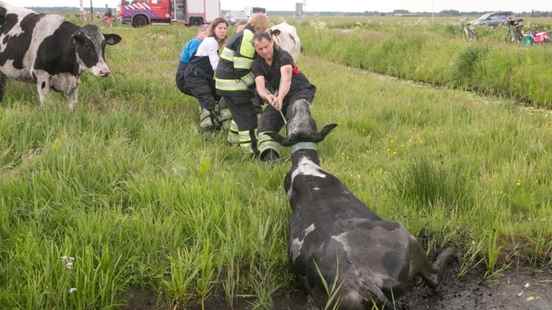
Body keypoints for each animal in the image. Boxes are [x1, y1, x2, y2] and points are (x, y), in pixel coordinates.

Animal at [268, 100, 452, 308]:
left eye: (306, 119)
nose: (299, 101)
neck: (305, 165)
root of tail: (364, 280)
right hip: (407, 238)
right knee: (434, 277)